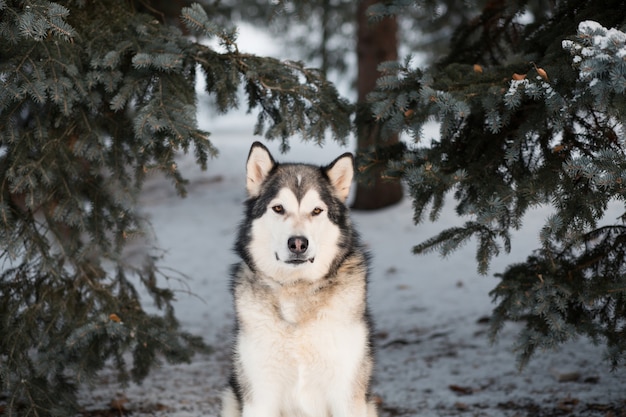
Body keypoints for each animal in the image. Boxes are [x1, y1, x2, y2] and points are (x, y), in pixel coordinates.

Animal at [219, 141, 376, 414]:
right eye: (278, 208)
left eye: (317, 211)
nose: (298, 244)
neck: (296, 289)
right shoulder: (260, 396)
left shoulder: (346, 395)